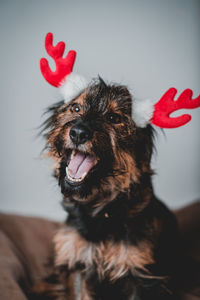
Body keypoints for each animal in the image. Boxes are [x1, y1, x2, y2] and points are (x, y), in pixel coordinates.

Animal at [33, 76, 180, 298]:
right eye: (76, 108)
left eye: (113, 117)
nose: (78, 133)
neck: (100, 210)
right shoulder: (76, 262)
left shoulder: (139, 272)